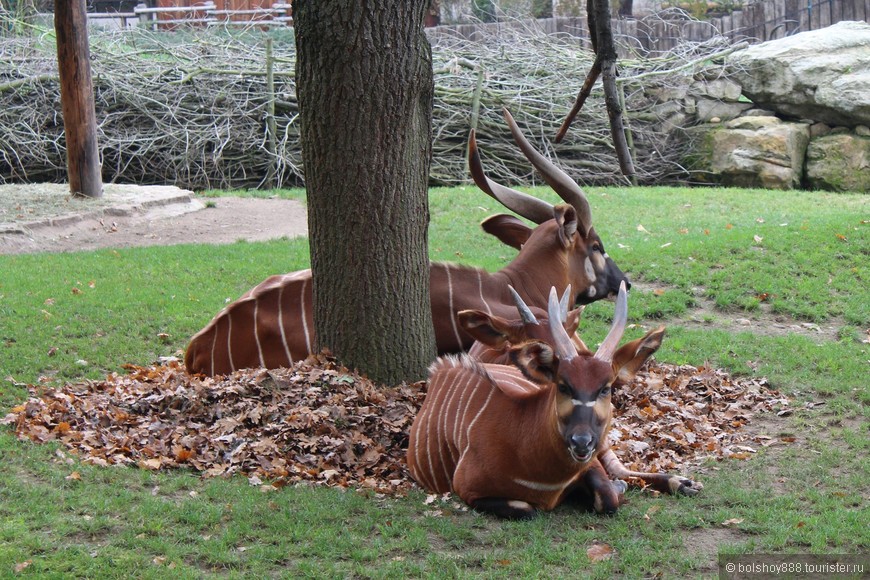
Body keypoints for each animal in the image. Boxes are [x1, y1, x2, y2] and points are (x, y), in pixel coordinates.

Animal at [408, 284, 648, 520]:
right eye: (563, 385)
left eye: (605, 388)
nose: (581, 442)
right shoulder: (468, 490)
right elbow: (527, 510)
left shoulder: (590, 463)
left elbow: (607, 500)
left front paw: (617, 487)